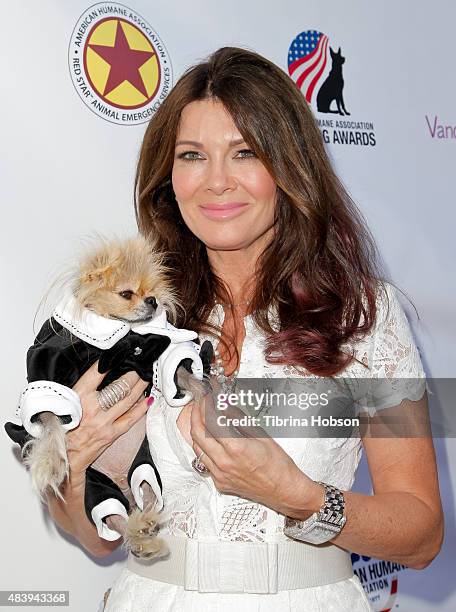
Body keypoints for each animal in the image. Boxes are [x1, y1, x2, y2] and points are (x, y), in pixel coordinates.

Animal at [4, 234, 212, 560]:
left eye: (151, 292)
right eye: (126, 293)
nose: (152, 301)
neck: (124, 336)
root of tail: (122, 485)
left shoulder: (157, 354)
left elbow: (180, 373)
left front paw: (203, 392)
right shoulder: (51, 367)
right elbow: (50, 419)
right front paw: (50, 460)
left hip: (144, 470)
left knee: (142, 502)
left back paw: (145, 531)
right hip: (95, 486)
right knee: (115, 518)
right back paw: (143, 537)